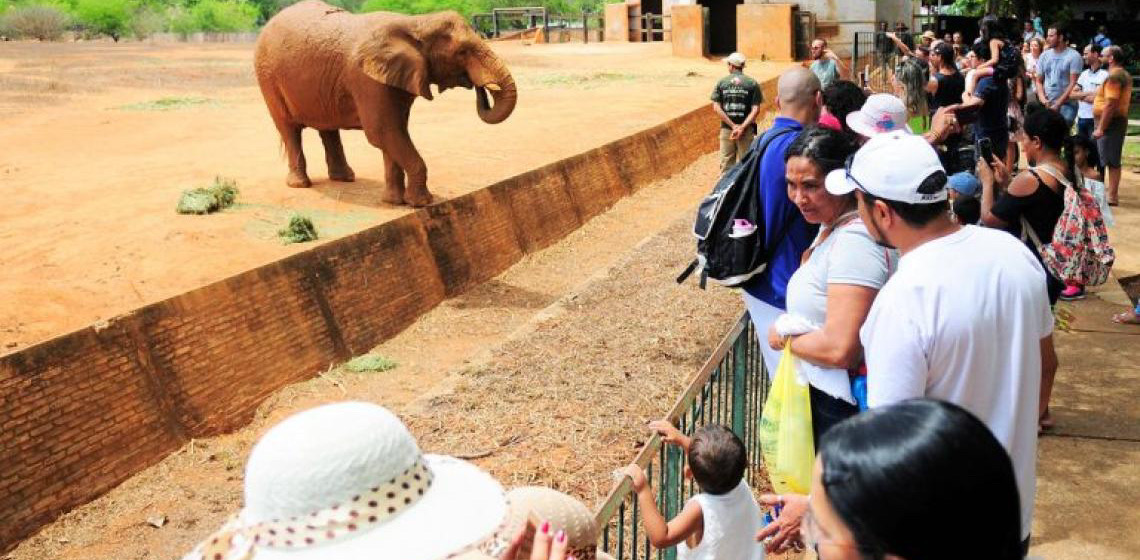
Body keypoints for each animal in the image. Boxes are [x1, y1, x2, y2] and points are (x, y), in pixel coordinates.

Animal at [254, 0, 517, 206]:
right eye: (462, 52)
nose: (480, 87)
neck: (416, 24)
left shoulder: (396, 79)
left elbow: (395, 133)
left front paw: (394, 202)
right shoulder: (367, 80)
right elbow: (383, 132)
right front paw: (422, 203)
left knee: (327, 128)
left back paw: (344, 178)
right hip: (267, 77)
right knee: (288, 129)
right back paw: (301, 184)